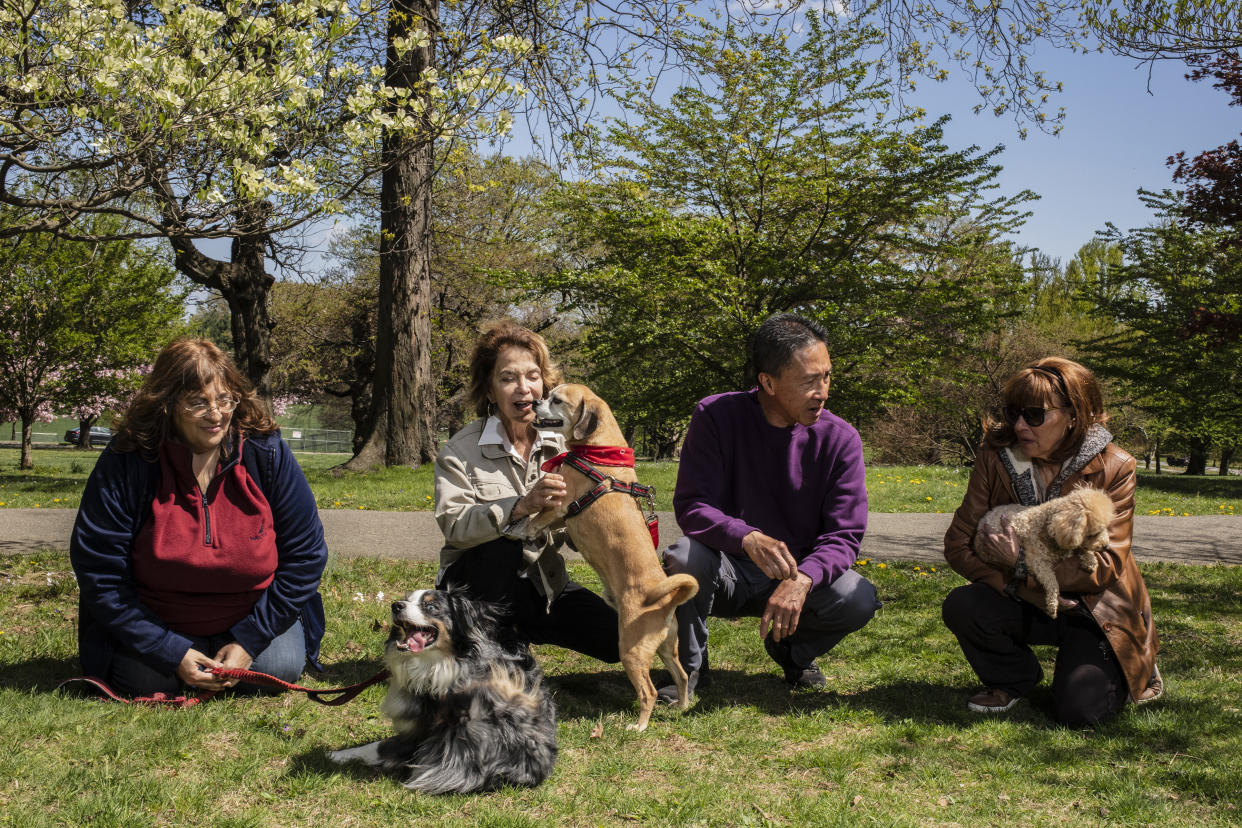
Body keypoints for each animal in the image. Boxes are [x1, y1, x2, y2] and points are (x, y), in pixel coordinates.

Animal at [526, 384, 700, 729]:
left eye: (556, 400)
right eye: (547, 394)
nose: (535, 401)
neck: (599, 449)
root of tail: (666, 600)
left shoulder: (558, 503)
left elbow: (539, 516)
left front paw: (526, 526)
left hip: (631, 651)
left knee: (648, 691)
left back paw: (640, 725)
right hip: (666, 649)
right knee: (683, 676)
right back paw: (682, 707)